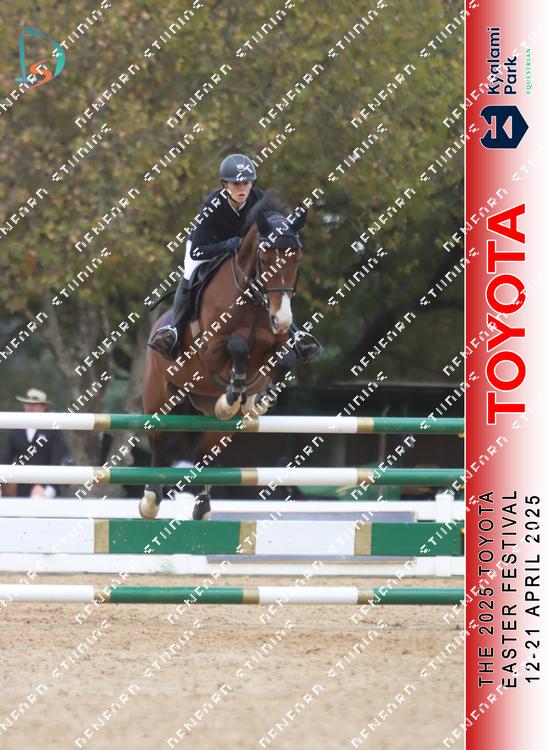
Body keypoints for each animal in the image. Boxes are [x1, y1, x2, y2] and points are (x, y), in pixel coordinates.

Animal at [139, 192, 306, 519]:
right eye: (265, 256)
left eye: (297, 257)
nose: (281, 319)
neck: (253, 300)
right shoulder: (208, 353)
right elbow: (238, 346)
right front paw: (234, 394)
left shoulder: (277, 345)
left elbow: (283, 359)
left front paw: (257, 399)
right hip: (161, 397)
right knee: (160, 441)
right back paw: (151, 499)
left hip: (210, 418)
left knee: (207, 452)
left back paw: (203, 505)